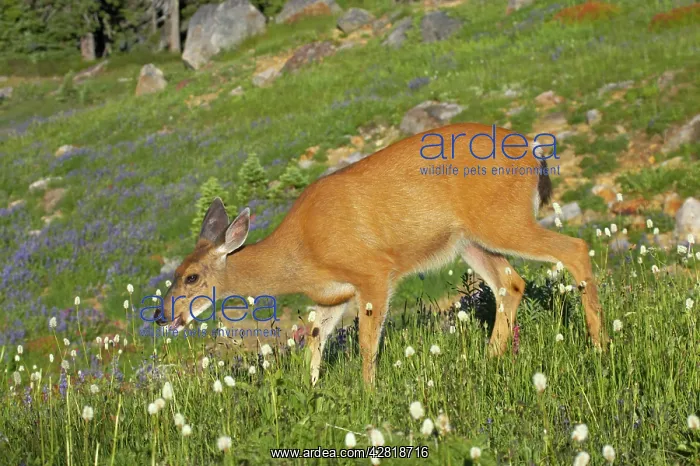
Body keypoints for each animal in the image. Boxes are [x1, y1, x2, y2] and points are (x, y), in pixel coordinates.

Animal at [153, 122, 608, 387]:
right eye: (174, 274)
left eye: (192, 276)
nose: (160, 315)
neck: (302, 253)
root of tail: (533, 154)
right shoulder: (331, 295)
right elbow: (314, 342)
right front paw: (312, 391)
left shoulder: (372, 270)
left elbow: (366, 343)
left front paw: (368, 393)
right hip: (470, 240)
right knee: (510, 283)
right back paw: (487, 359)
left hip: (503, 220)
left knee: (575, 249)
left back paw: (598, 345)